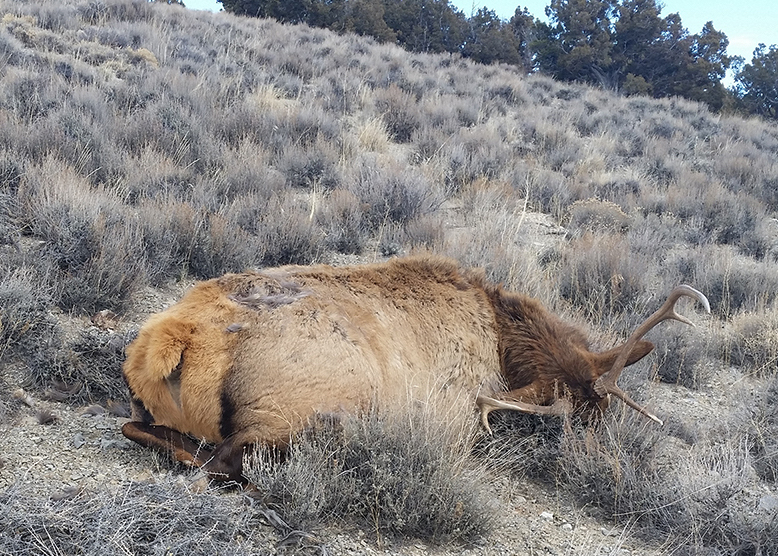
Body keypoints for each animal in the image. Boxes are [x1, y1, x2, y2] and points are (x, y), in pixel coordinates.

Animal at [121, 255, 709, 481]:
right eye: (583, 419)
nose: (602, 463)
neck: (503, 341)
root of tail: (176, 336)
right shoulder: (459, 414)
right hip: (302, 410)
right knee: (224, 461)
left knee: (138, 426)